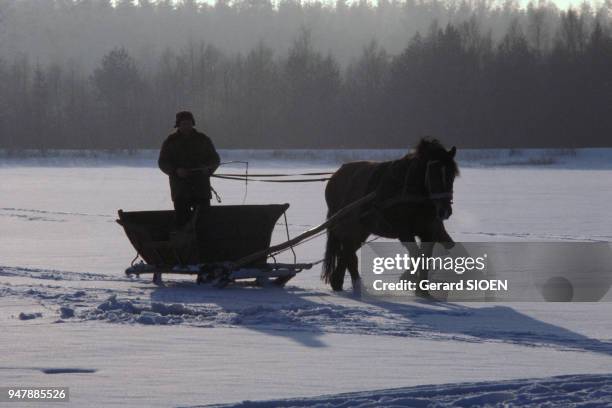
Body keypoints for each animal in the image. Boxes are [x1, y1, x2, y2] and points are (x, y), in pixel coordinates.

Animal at [322, 139, 456, 292]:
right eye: (433, 175)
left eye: (452, 175)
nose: (445, 210)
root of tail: (335, 176)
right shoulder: (404, 232)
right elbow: (416, 254)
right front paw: (413, 283)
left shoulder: (429, 232)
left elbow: (425, 257)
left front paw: (421, 289)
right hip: (349, 226)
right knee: (348, 252)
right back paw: (354, 284)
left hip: (361, 229)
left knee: (347, 252)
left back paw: (339, 281)